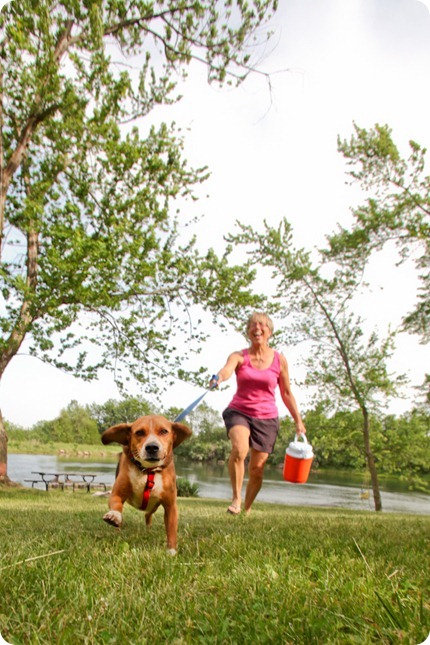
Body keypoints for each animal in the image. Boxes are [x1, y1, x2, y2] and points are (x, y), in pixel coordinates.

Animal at [101, 416, 191, 556]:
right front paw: (114, 516)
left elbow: (171, 530)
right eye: (139, 432)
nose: (152, 447)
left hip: (154, 506)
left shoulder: (170, 506)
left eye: (164, 431)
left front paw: (171, 551)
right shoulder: (117, 494)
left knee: (148, 514)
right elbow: (116, 504)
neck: (148, 470)